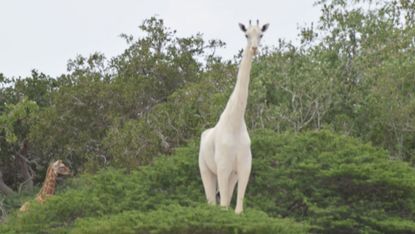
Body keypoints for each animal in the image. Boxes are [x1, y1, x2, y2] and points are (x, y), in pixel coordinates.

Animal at [199, 20, 270, 214]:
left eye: (261, 35)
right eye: (246, 35)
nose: (254, 48)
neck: (235, 123)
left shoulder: (244, 168)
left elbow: (237, 209)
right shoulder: (223, 167)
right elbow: (223, 206)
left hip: (231, 175)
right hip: (206, 169)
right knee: (211, 201)